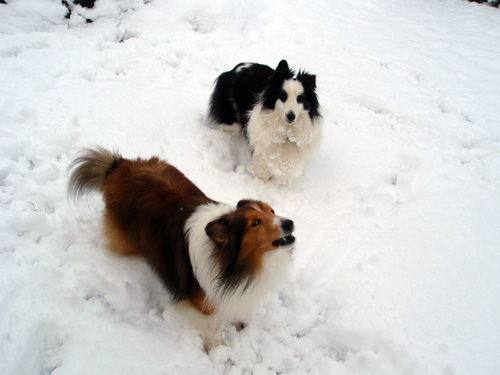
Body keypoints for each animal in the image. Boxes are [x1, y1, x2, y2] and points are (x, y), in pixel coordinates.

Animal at [66, 148, 292, 352]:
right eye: (255, 223)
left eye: (272, 210)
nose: (290, 223)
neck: (235, 263)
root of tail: (120, 165)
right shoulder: (204, 307)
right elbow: (214, 334)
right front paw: (219, 355)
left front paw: (239, 324)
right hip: (125, 240)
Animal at [208, 59, 322, 187]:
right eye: (283, 96)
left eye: (300, 99)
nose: (291, 116)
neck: (286, 131)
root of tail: (236, 68)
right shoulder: (263, 153)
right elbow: (262, 173)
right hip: (229, 121)